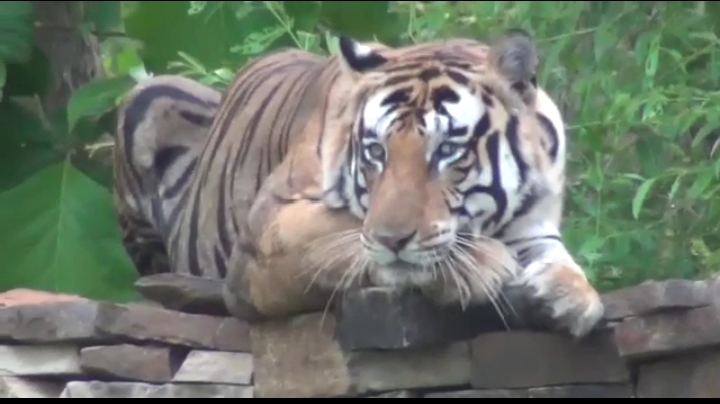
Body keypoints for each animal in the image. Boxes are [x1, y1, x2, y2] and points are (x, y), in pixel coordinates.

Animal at [112, 28, 604, 338]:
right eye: (376, 152)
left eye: (447, 150)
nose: (393, 239)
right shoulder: (267, 225)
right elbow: (341, 232)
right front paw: (481, 264)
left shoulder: (534, 226)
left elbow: (558, 260)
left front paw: (571, 295)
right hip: (145, 99)